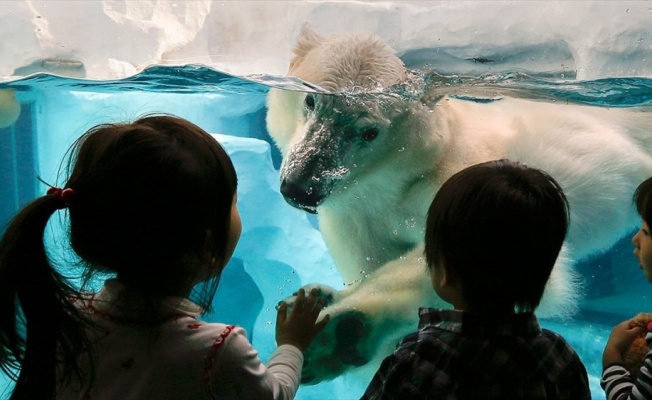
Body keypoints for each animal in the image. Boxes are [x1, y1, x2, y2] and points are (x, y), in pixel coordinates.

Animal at [266, 22, 652, 384]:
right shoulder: (356, 217)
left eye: (369, 132)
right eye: (311, 101)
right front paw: (323, 298)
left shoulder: (456, 180)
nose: (301, 188)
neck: (393, 181)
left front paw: (335, 334)